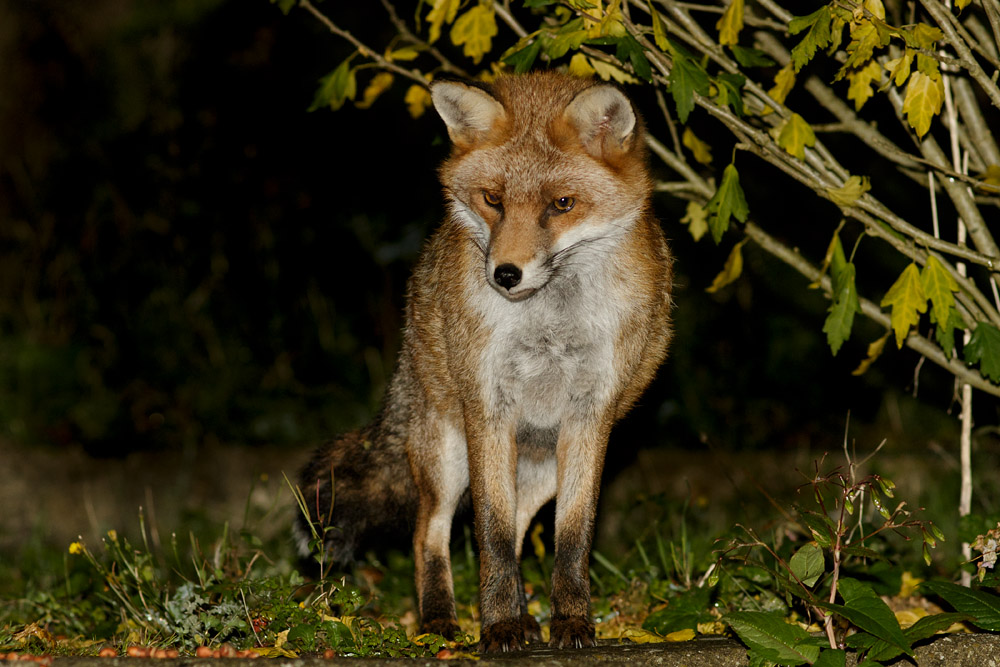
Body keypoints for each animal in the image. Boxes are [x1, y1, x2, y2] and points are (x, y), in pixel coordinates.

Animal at [296, 71, 673, 652]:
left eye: (562, 203)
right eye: (493, 198)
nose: (506, 275)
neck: (550, 324)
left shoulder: (590, 415)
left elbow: (571, 538)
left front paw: (569, 622)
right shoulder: (487, 404)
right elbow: (489, 534)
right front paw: (497, 628)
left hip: (538, 473)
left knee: (513, 531)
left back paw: (521, 615)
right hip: (449, 455)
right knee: (431, 531)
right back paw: (441, 621)